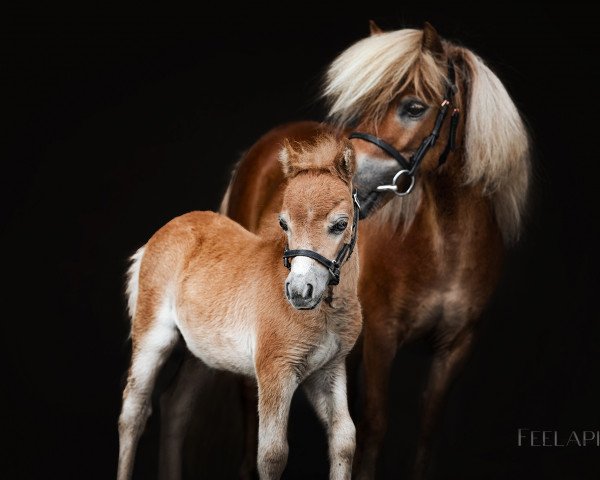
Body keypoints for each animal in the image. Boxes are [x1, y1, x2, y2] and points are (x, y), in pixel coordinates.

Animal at [116, 132, 360, 480]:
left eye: (340, 224)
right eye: (283, 223)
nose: (299, 291)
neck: (326, 313)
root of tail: (164, 231)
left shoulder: (329, 369)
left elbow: (344, 439)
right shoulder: (275, 370)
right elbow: (272, 454)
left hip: (203, 351)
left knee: (175, 404)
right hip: (153, 336)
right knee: (133, 412)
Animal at [158, 20, 528, 478]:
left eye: (414, 107)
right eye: (367, 106)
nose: (354, 184)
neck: (447, 247)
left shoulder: (456, 345)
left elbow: (426, 430)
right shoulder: (382, 336)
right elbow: (374, 424)